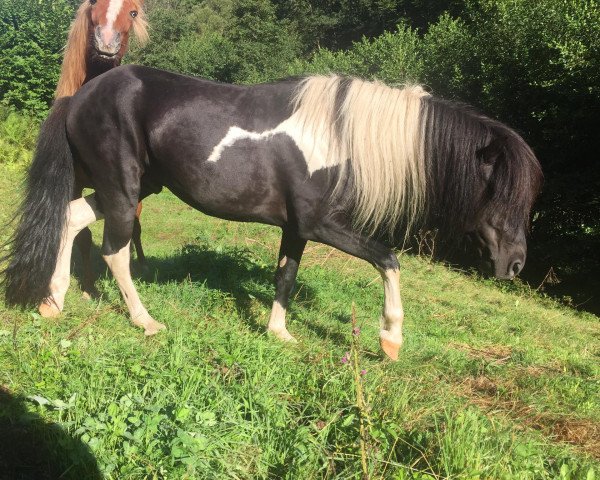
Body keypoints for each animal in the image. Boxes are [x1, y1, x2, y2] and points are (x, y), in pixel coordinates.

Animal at [2, 68, 544, 360]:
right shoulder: (323, 225)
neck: (343, 137)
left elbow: (286, 275)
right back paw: (145, 321)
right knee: (114, 251)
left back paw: (53, 300)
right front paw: (391, 338)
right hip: (123, 188)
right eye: (502, 192)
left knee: (71, 217)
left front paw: (279, 332)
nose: (516, 264)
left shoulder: (297, 228)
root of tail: (81, 95)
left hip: (130, 186)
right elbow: (388, 259)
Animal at [55, 0, 149, 300]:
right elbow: (83, 236)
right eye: (94, 3)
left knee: (136, 228)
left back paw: (140, 264)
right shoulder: (74, 185)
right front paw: (88, 287)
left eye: (133, 12)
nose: (106, 42)